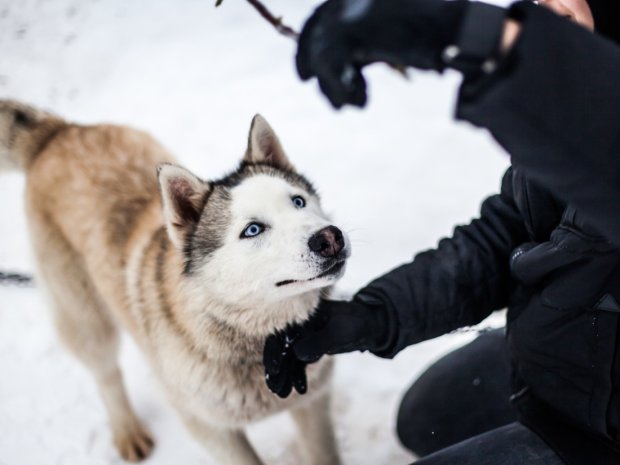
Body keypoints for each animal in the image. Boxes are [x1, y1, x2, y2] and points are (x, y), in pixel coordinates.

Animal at [0, 100, 348, 464]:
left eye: (298, 201)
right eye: (253, 229)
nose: (330, 239)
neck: (268, 344)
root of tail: (58, 133)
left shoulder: (313, 403)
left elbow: (324, 454)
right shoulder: (211, 429)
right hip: (86, 319)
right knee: (107, 374)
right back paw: (127, 430)